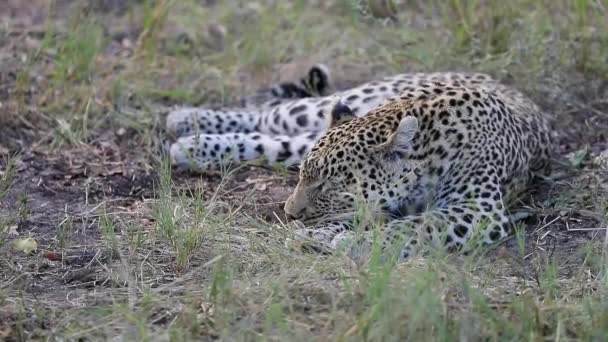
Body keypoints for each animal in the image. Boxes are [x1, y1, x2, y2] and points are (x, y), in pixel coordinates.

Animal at [165, 65, 552, 260]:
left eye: (327, 185)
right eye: (305, 179)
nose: (289, 214)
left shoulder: (479, 209)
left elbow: (414, 226)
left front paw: (340, 241)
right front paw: (329, 237)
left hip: (310, 132)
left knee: (273, 141)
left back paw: (191, 144)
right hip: (327, 105)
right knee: (267, 115)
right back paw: (185, 121)